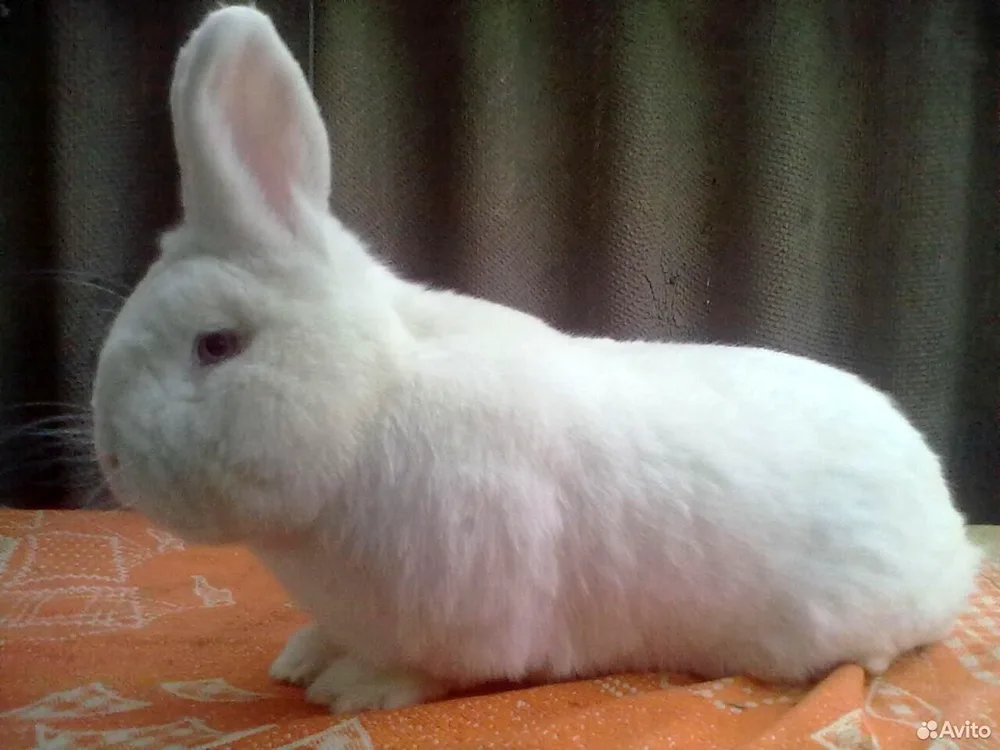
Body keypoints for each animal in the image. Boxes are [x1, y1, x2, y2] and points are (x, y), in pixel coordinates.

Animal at [92, 2, 984, 712]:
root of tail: (948, 527)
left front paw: (352, 689)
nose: (112, 463)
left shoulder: (467, 613)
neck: (367, 403)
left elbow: (422, 673)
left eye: (216, 345)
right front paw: (303, 659)